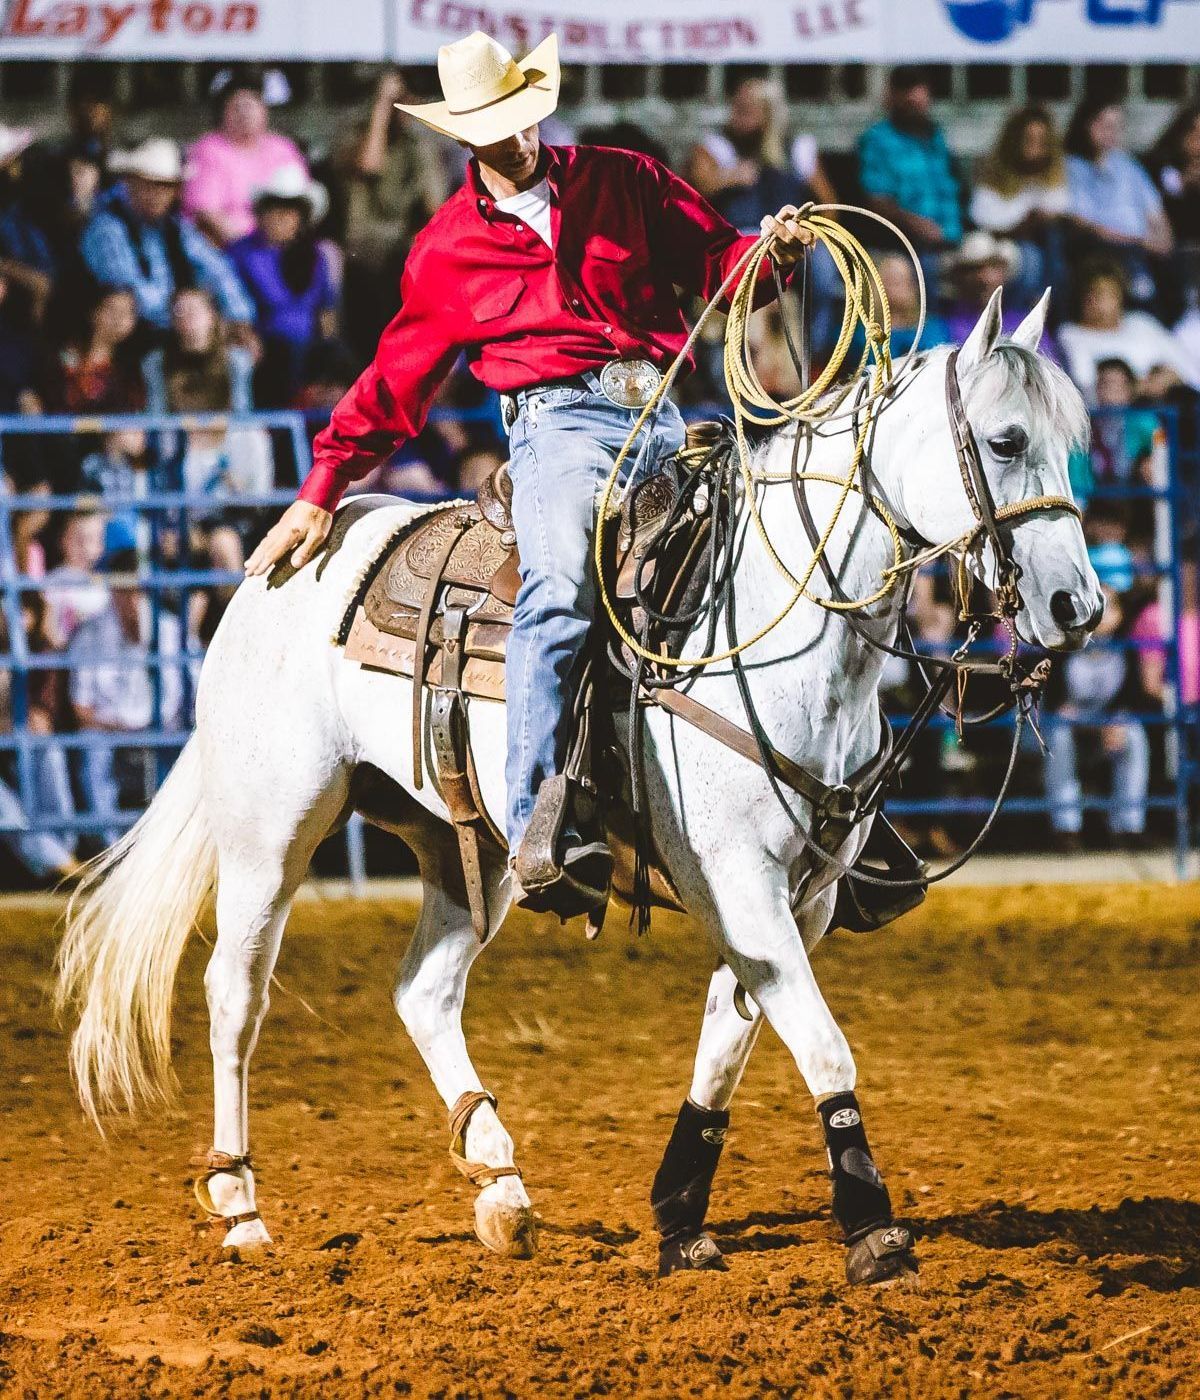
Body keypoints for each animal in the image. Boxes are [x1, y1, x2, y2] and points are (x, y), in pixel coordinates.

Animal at [56, 289, 1103, 1282]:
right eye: (1005, 440)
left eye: (1070, 444)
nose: (1079, 608)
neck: (775, 624)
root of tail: (283, 563)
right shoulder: (741, 883)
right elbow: (820, 1044)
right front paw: (873, 1229)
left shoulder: (796, 898)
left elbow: (729, 1043)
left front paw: (679, 1215)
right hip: (273, 830)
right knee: (236, 995)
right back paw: (241, 1210)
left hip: (473, 846)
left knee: (424, 990)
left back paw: (501, 1188)